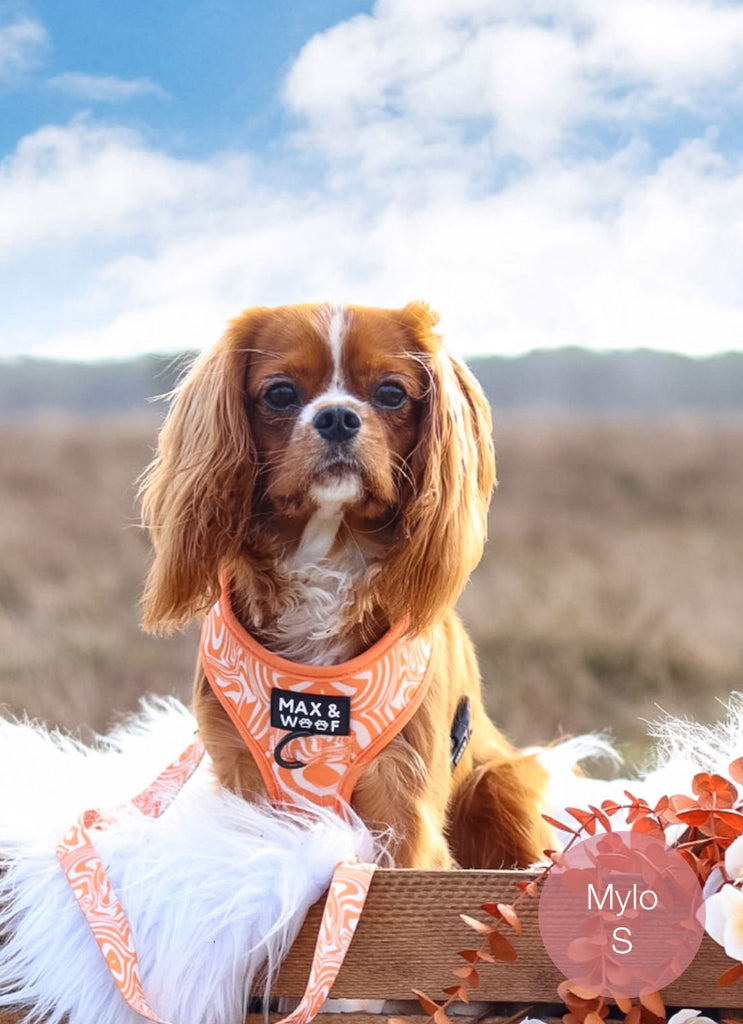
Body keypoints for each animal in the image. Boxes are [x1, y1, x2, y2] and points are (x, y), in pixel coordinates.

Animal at [142, 299, 556, 868]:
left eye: (391, 393)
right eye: (280, 393)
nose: (337, 416)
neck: (327, 556)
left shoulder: (401, 794)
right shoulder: (243, 778)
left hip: (503, 782)